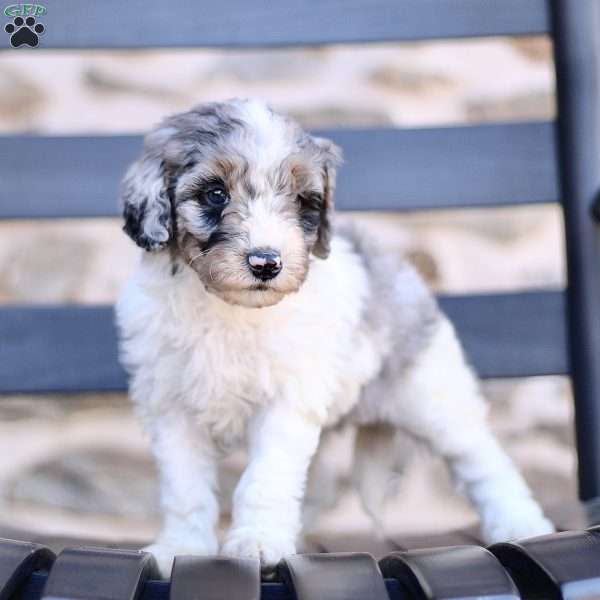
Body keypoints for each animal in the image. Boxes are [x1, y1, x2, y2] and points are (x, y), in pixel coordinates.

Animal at [115, 96, 556, 576]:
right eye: (215, 193)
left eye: (301, 200)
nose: (266, 263)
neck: (232, 310)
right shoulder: (171, 407)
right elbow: (186, 490)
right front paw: (182, 547)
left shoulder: (285, 402)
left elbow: (264, 478)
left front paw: (258, 541)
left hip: (432, 395)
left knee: (483, 460)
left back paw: (520, 523)